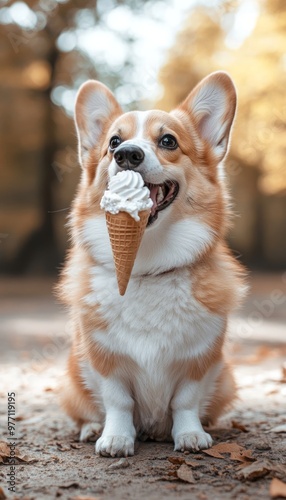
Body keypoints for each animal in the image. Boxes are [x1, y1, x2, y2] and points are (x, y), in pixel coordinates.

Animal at [58, 70, 246, 458]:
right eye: (114, 142)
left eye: (168, 141)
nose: (127, 154)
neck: (145, 268)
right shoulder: (104, 359)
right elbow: (119, 402)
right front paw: (116, 438)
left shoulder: (199, 360)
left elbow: (185, 402)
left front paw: (190, 435)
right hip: (71, 379)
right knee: (87, 410)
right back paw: (91, 428)